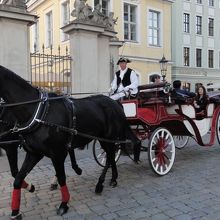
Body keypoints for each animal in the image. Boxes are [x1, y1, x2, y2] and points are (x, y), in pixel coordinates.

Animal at [0, 64, 140, 219]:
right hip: (104, 140)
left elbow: (62, 177)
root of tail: (115, 103)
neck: (38, 112)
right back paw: (113, 179)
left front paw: (64, 204)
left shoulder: (57, 154)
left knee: (110, 156)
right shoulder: (34, 153)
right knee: (110, 156)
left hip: (107, 139)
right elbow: (17, 178)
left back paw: (100, 183)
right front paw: (15, 210)